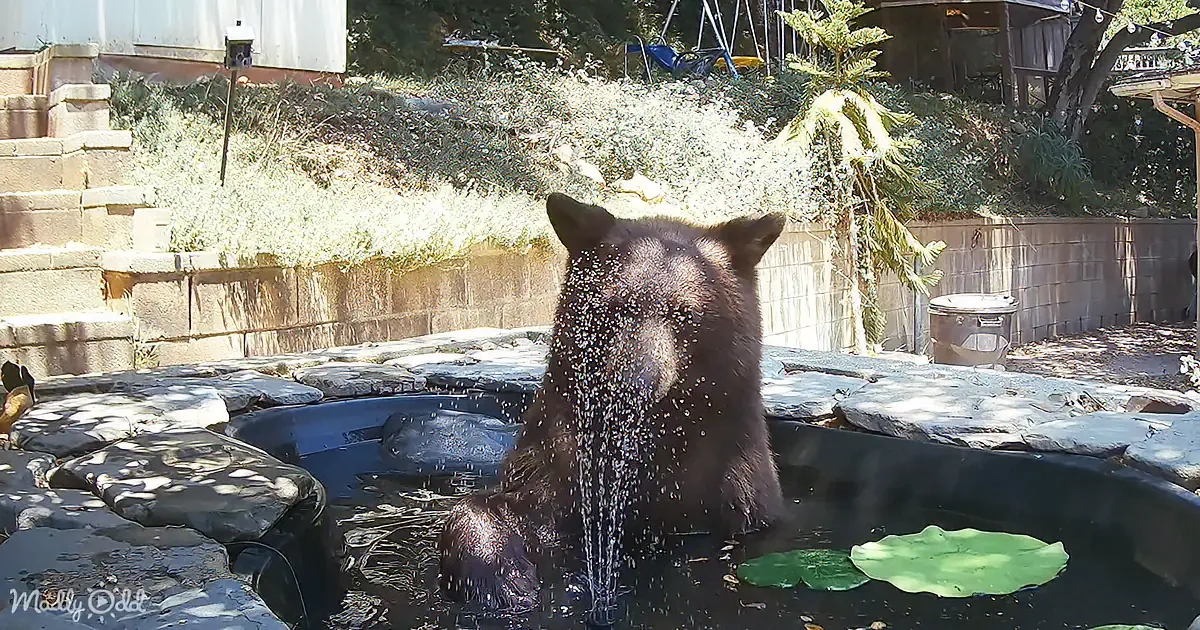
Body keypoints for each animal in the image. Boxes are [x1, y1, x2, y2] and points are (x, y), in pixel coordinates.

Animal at [438, 192, 787, 612]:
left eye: (685, 315)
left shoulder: (732, 477)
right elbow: (512, 507)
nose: (634, 385)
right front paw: (501, 577)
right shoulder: (560, 459)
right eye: (615, 306)